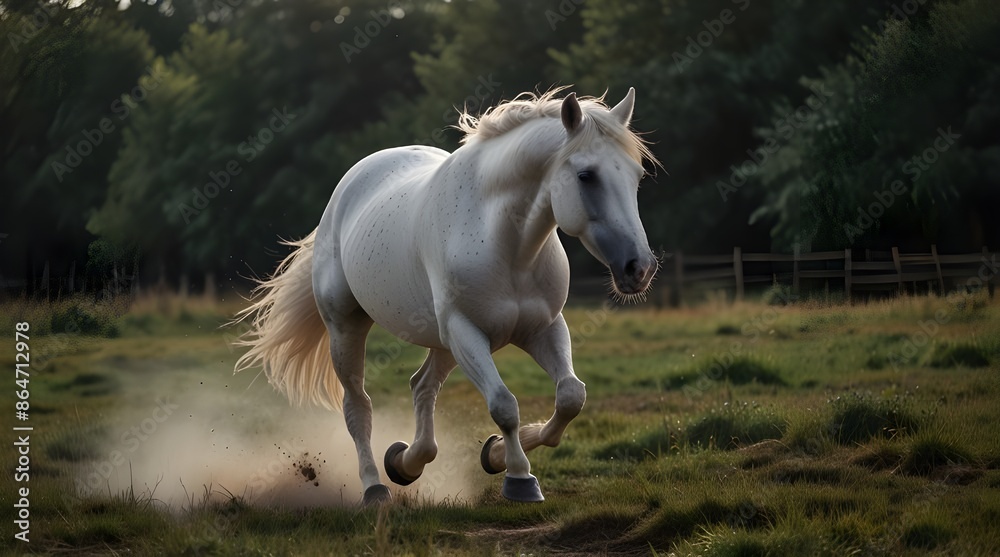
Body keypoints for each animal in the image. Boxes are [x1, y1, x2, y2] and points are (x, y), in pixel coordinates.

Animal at [234, 87, 658, 505]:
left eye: (638, 175)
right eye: (586, 175)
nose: (639, 268)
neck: (507, 246)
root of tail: (345, 191)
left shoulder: (543, 328)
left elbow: (571, 396)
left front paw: (495, 455)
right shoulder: (465, 331)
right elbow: (504, 405)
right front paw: (520, 479)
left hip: (444, 343)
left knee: (422, 386)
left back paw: (404, 463)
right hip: (349, 328)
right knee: (358, 407)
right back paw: (374, 489)